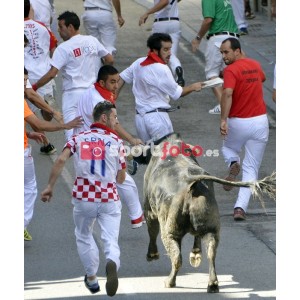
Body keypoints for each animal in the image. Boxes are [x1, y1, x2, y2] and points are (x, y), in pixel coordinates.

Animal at [143, 134, 276, 292]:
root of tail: (192, 182)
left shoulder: (149, 210)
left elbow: (152, 230)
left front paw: (152, 255)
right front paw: (195, 254)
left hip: (170, 231)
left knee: (176, 256)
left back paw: (170, 282)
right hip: (212, 227)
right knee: (211, 253)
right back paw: (212, 284)